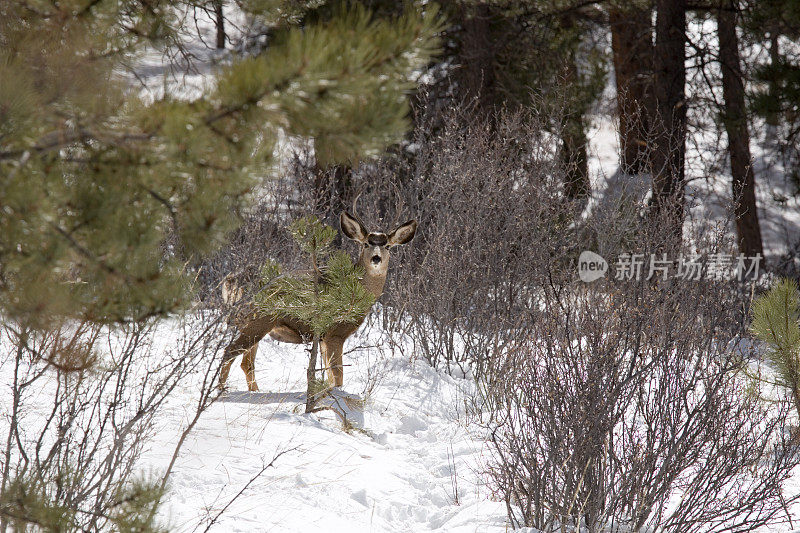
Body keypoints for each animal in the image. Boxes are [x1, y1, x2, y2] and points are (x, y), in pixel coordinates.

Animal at [219, 209, 418, 390]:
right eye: (366, 244)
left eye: (388, 246)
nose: (376, 258)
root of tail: (231, 280)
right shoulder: (335, 333)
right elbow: (338, 376)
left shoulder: (321, 338)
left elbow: (329, 375)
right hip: (258, 319)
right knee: (229, 352)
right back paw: (220, 390)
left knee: (246, 362)